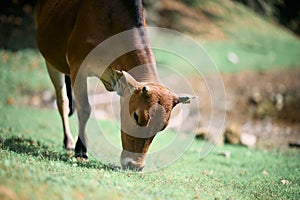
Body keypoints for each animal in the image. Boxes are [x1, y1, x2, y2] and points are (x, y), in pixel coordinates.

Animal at [34, 0, 193, 172]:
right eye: (136, 116)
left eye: (163, 126)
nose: (135, 165)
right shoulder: (78, 66)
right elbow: (85, 109)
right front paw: (81, 150)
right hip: (51, 61)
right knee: (62, 101)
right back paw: (69, 142)